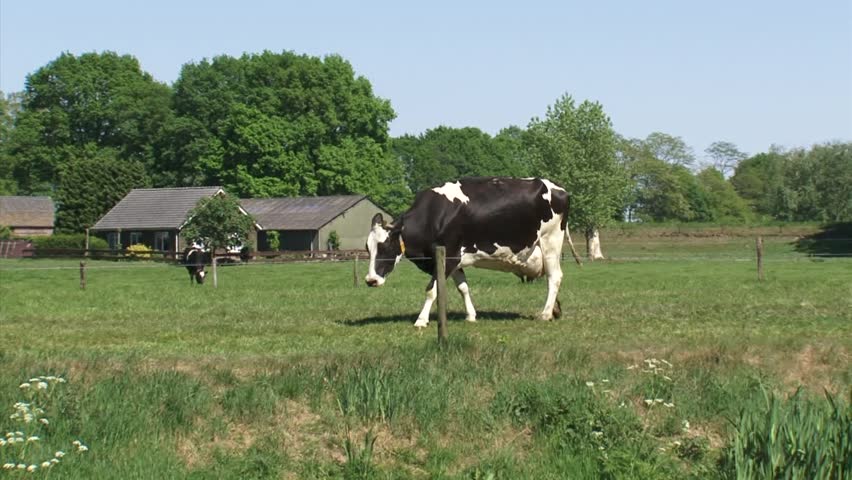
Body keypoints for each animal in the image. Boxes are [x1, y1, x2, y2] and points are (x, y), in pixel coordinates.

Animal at [365, 177, 579, 328]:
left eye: (385, 246)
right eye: (368, 248)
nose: (371, 280)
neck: (434, 215)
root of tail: (559, 188)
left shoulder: (448, 255)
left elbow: (432, 290)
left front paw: (421, 320)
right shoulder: (453, 258)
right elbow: (463, 287)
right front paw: (471, 315)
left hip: (551, 240)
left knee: (554, 277)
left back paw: (545, 314)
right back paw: (554, 310)